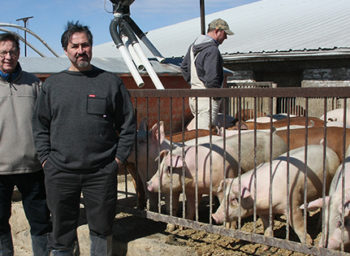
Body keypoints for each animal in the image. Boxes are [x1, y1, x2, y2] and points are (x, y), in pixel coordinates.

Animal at [147, 131, 288, 221]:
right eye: (159, 166)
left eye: (169, 168)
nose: (148, 184)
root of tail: (280, 140)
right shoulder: (192, 190)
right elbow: (191, 208)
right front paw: (187, 222)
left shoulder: (221, 184)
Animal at [212, 145, 340, 245]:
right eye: (225, 197)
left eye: (234, 199)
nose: (214, 216)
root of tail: (330, 151)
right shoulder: (263, 211)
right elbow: (268, 226)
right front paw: (266, 245)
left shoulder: (292, 203)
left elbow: (298, 225)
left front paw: (308, 244)